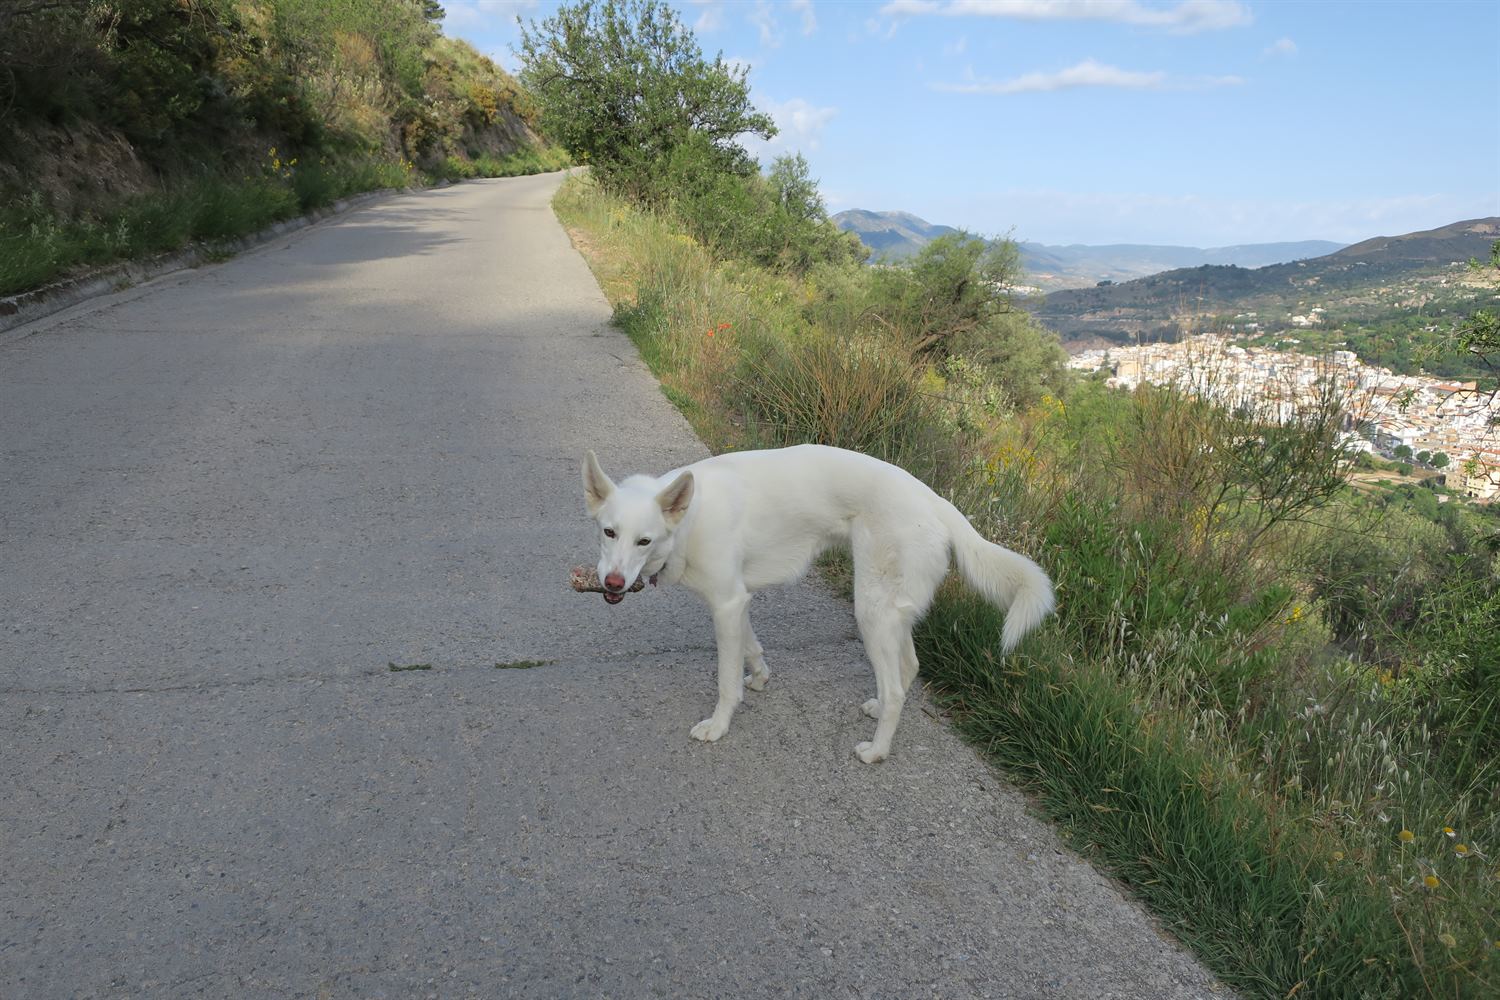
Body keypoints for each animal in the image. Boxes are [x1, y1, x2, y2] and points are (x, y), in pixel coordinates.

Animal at [576, 446, 1056, 767]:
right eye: (609, 532)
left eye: (645, 540)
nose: (613, 584)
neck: (689, 520)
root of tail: (937, 502)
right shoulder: (738, 602)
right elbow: (752, 648)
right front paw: (761, 677)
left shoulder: (727, 605)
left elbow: (726, 683)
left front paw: (718, 726)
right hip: (889, 612)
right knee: (909, 668)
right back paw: (878, 711)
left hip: (870, 612)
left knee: (898, 689)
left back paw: (877, 750)